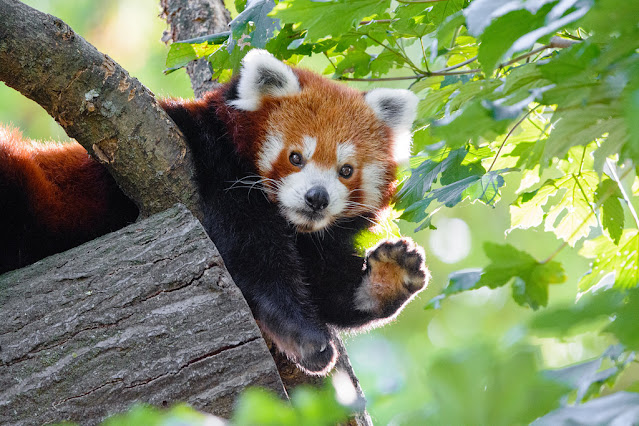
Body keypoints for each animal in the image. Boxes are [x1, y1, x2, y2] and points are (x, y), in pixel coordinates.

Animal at [2, 50, 430, 374]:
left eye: (346, 170)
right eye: (296, 157)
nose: (317, 198)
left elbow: (322, 281)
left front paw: (387, 279)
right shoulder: (214, 162)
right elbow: (253, 254)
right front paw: (303, 335)